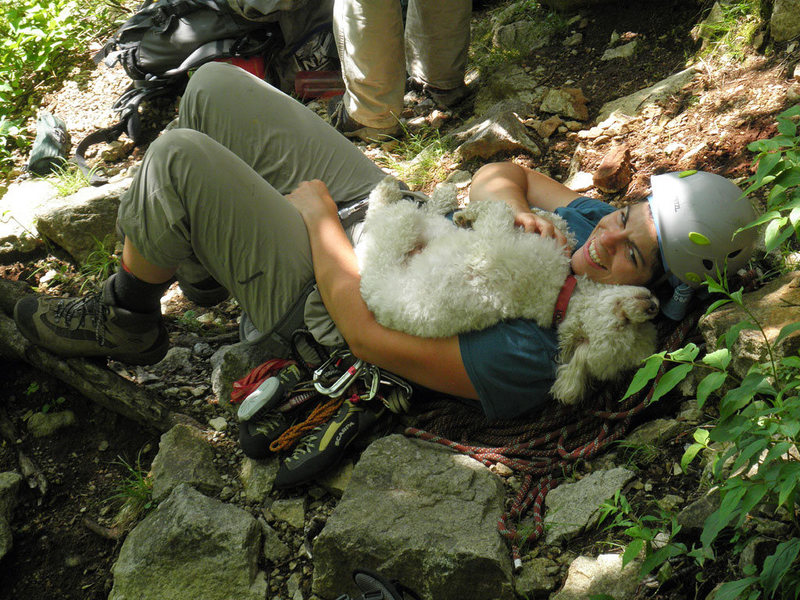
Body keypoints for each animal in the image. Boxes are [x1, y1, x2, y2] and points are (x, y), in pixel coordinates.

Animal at [360, 176, 660, 406]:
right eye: (626, 321)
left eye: (633, 328)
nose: (653, 307)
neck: (559, 297)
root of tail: (370, 290)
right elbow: (544, 222)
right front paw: (540, 218)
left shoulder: (495, 235)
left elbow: (501, 210)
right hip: (413, 231)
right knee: (409, 213)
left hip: (401, 229)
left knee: (395, 212)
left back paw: (409, 192)